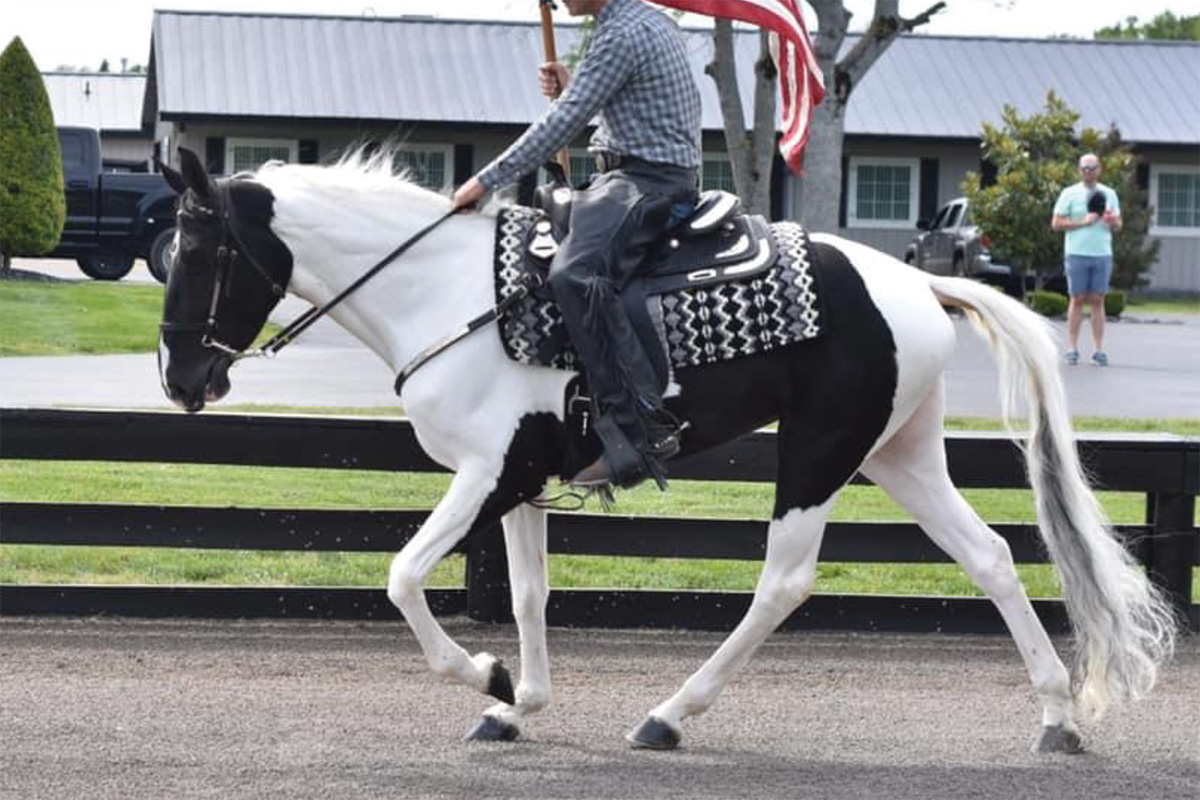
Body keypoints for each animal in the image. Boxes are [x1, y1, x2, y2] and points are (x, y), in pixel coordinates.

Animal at [157, 151, 1171, 758]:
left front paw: (487, 677)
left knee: (784, 582)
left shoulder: (492, 475)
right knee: (991, 556)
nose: (179, 377)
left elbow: (404, 576)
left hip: (819, 453)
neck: (447, 294)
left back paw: (670, 714)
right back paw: (1056, 715)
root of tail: (919, 281)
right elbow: (527, 594)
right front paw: (517, 703)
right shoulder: (521, 484)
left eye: (199, 254)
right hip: (900, 453)